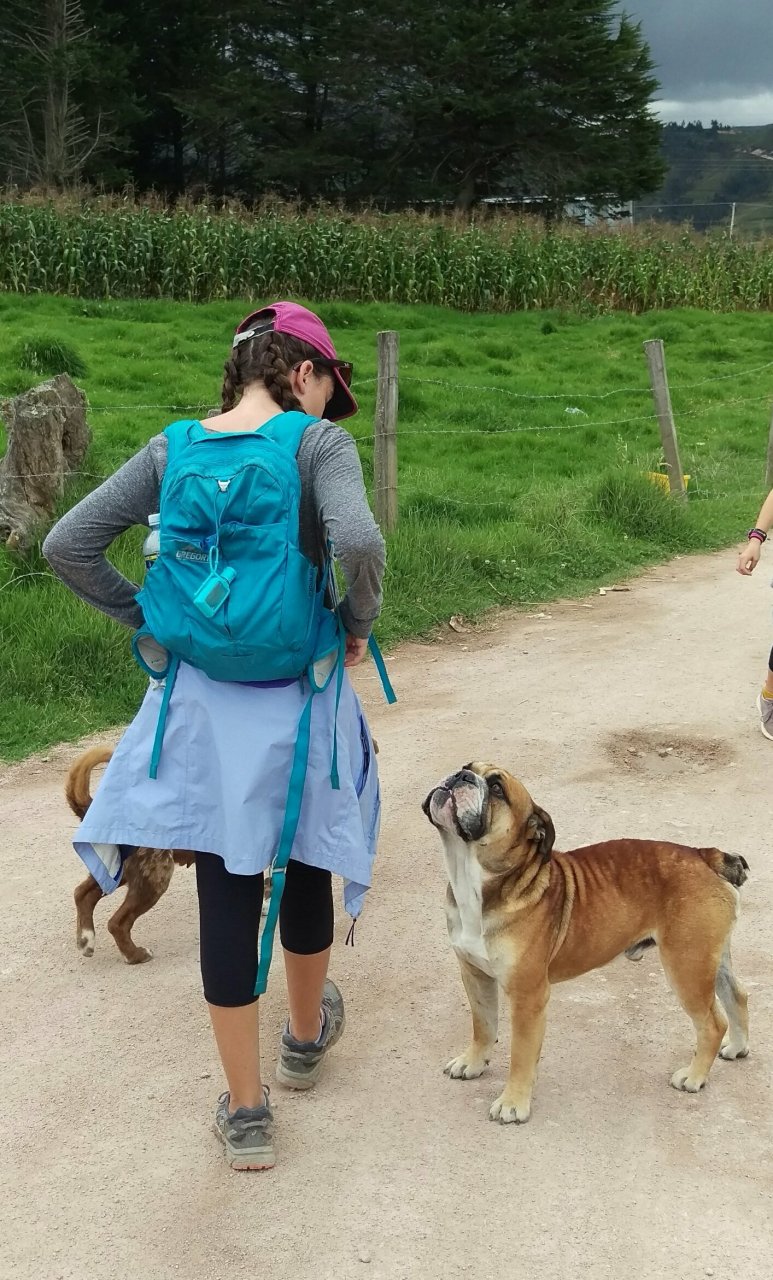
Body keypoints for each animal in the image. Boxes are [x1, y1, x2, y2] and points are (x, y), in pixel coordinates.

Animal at [423, 763, 750, 1124]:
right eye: (467, 767)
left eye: (496, 789)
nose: (460, 776)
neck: (475, 880)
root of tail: (705, 855)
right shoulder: (475, 975)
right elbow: (482, 1025)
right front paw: (473, 1062)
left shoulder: (527, 996)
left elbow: (520, 1055)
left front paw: (513, 1102)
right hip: (711, 959)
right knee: (737, 996)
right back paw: (737, 1047)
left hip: (687, 966)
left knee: (712, 1023)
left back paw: (694, 1076)